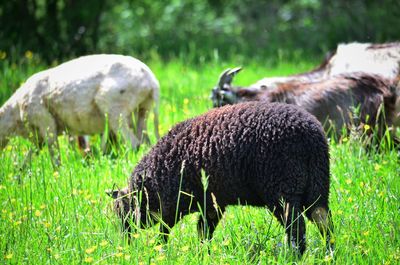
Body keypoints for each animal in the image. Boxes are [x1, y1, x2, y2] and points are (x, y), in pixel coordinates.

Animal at [0, 54, 159, 164]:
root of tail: (152, 81)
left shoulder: (45, 123)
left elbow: (55, 157)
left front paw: (58, 177)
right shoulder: (38, 138)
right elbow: (26, 162)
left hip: (114, 108)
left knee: (134, 144)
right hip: (142, 111)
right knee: (146, 142)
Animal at [108, 101, 332, 254]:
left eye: (122, 211)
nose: (126, 243)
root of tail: (312, 136)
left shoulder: (175, 201)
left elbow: (166, 229)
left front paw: (160, 250)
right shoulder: (212, 203)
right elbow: (204, 231)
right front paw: (202, 253)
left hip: (283, 190)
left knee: (296, 228)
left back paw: (294, 256)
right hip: (317, 186)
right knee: (323, 220)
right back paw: (329, 251)